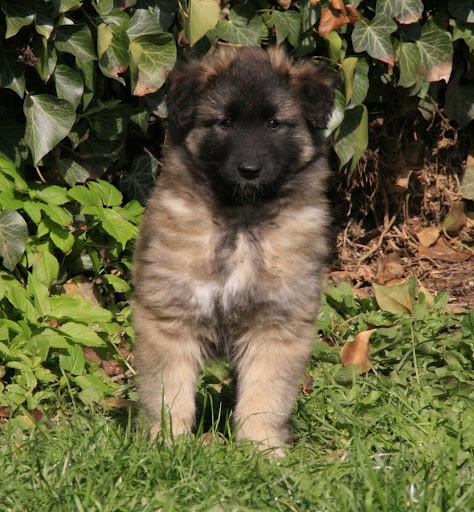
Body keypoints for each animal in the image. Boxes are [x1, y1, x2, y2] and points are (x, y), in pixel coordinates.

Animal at [131, 45, 336, 456]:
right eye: (224, 123)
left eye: (274, 123)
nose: (249, 169)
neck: (241, 218)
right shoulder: (170, 317)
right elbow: (168, 391)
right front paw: (167, 444)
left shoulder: (276, 324)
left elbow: (265, 395)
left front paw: (261, 448)